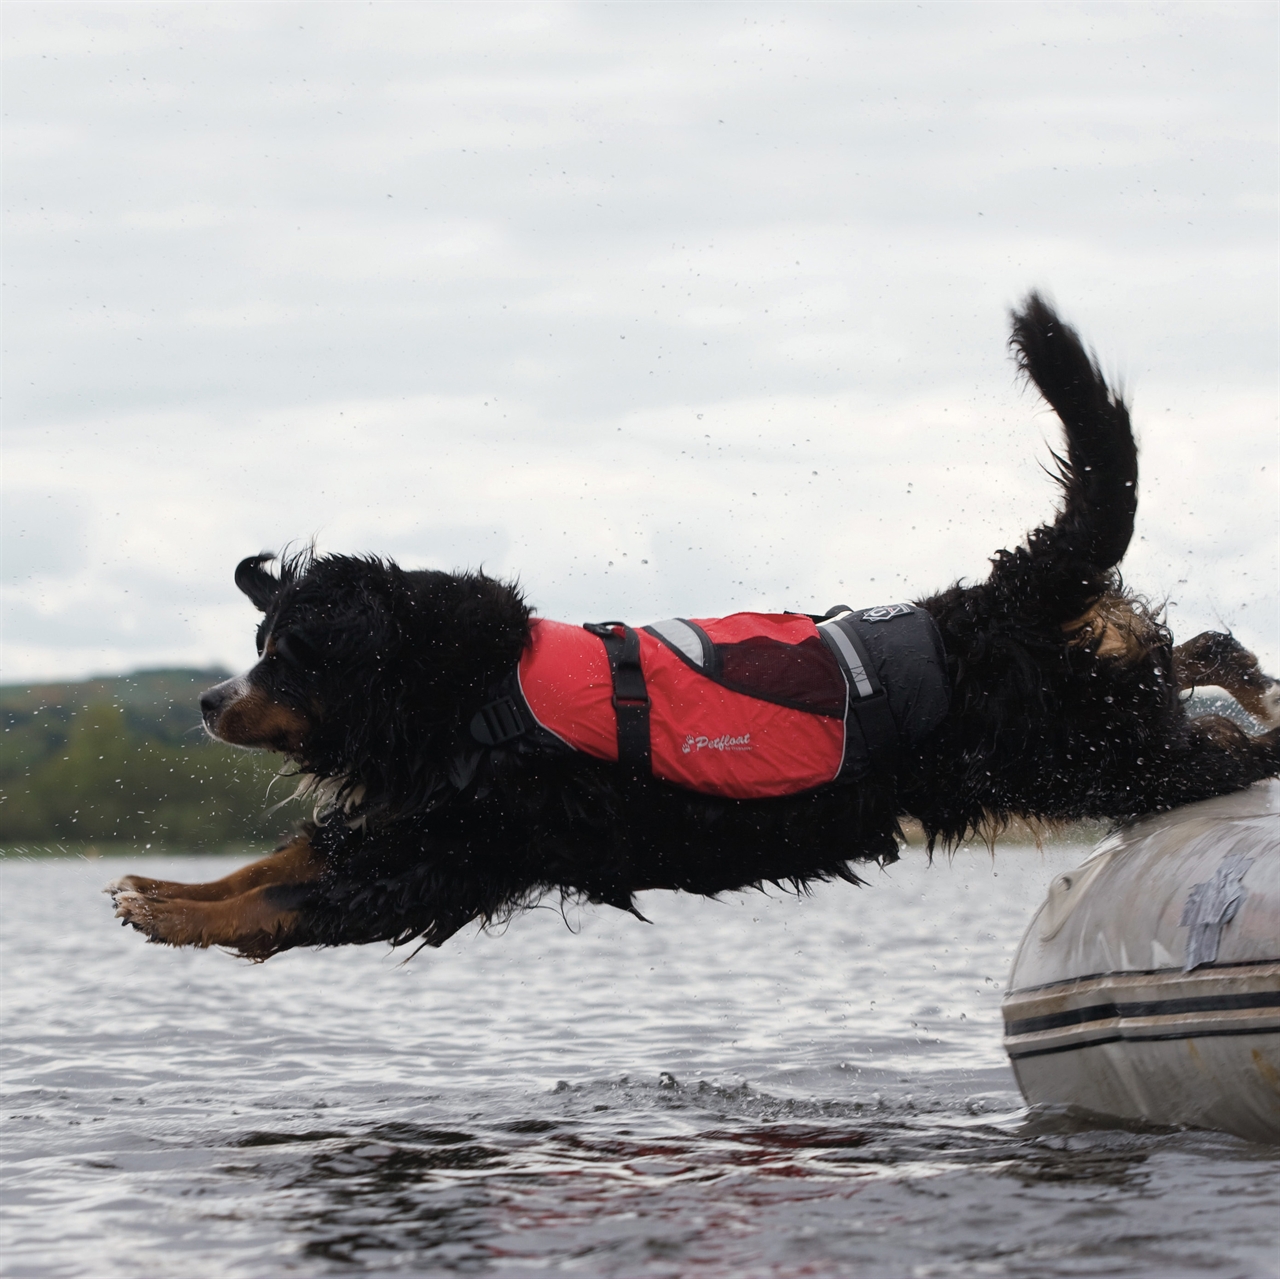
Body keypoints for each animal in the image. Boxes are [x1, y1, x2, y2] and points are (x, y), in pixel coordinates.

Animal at [110, 297, 1280, 962]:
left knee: (1225, 746)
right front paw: (160, 889)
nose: (209, 698)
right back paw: (1242, 668)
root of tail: (1003, 596)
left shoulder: (451, 850)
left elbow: (290, 898)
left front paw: (173, 915)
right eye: (259, 648)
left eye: (291, 654)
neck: (468, 692)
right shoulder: (407, 820)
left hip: (1093, 756)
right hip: (1108, 710)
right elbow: (271, 864)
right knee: (1189, 658)